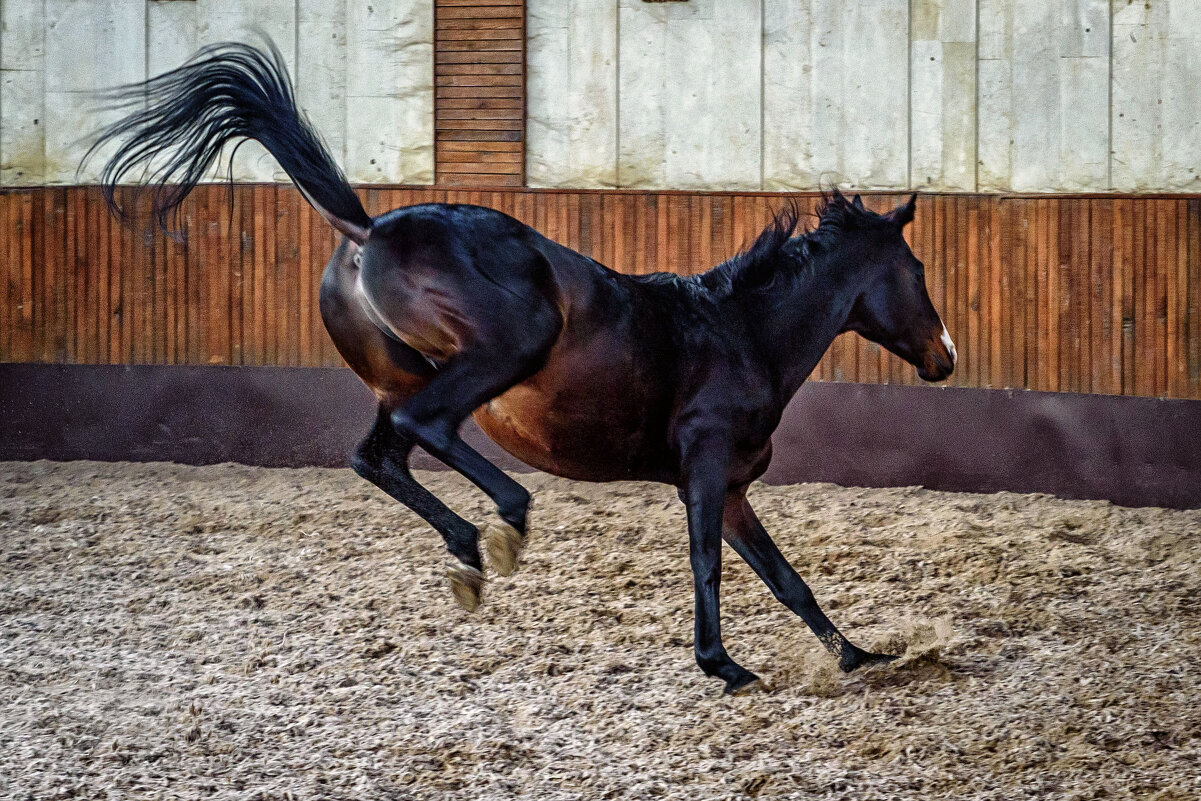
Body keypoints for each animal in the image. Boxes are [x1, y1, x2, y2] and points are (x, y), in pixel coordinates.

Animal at [87, 39, 955, 696]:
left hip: (399, 374)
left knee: (378, 455)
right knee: (427, 427)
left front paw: (858, 655)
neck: (739, 334)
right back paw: (502, 525)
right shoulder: (706, 476)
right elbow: (708, 565)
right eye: (914, 270)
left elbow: (785, 578)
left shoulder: (734, 487)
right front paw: (724, 666)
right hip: (500, 352)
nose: (944, 356)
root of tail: (369, 230)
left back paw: (468, 552)